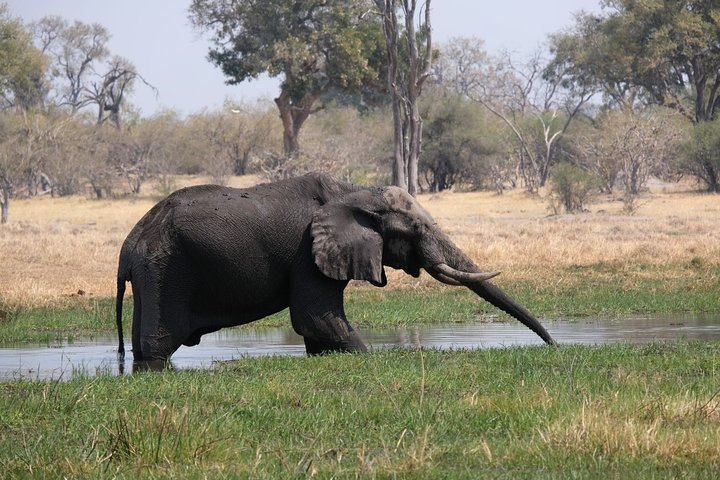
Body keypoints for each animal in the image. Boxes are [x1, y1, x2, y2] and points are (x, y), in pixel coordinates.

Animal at [115, 172, 555, 362]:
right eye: (418, 228)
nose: (554, 347)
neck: (356, 192)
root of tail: (128, 245)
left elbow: (317, 328)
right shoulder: (307, 253)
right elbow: (316, 317)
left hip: (153, 273)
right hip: (166, 269)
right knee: (158, 341)